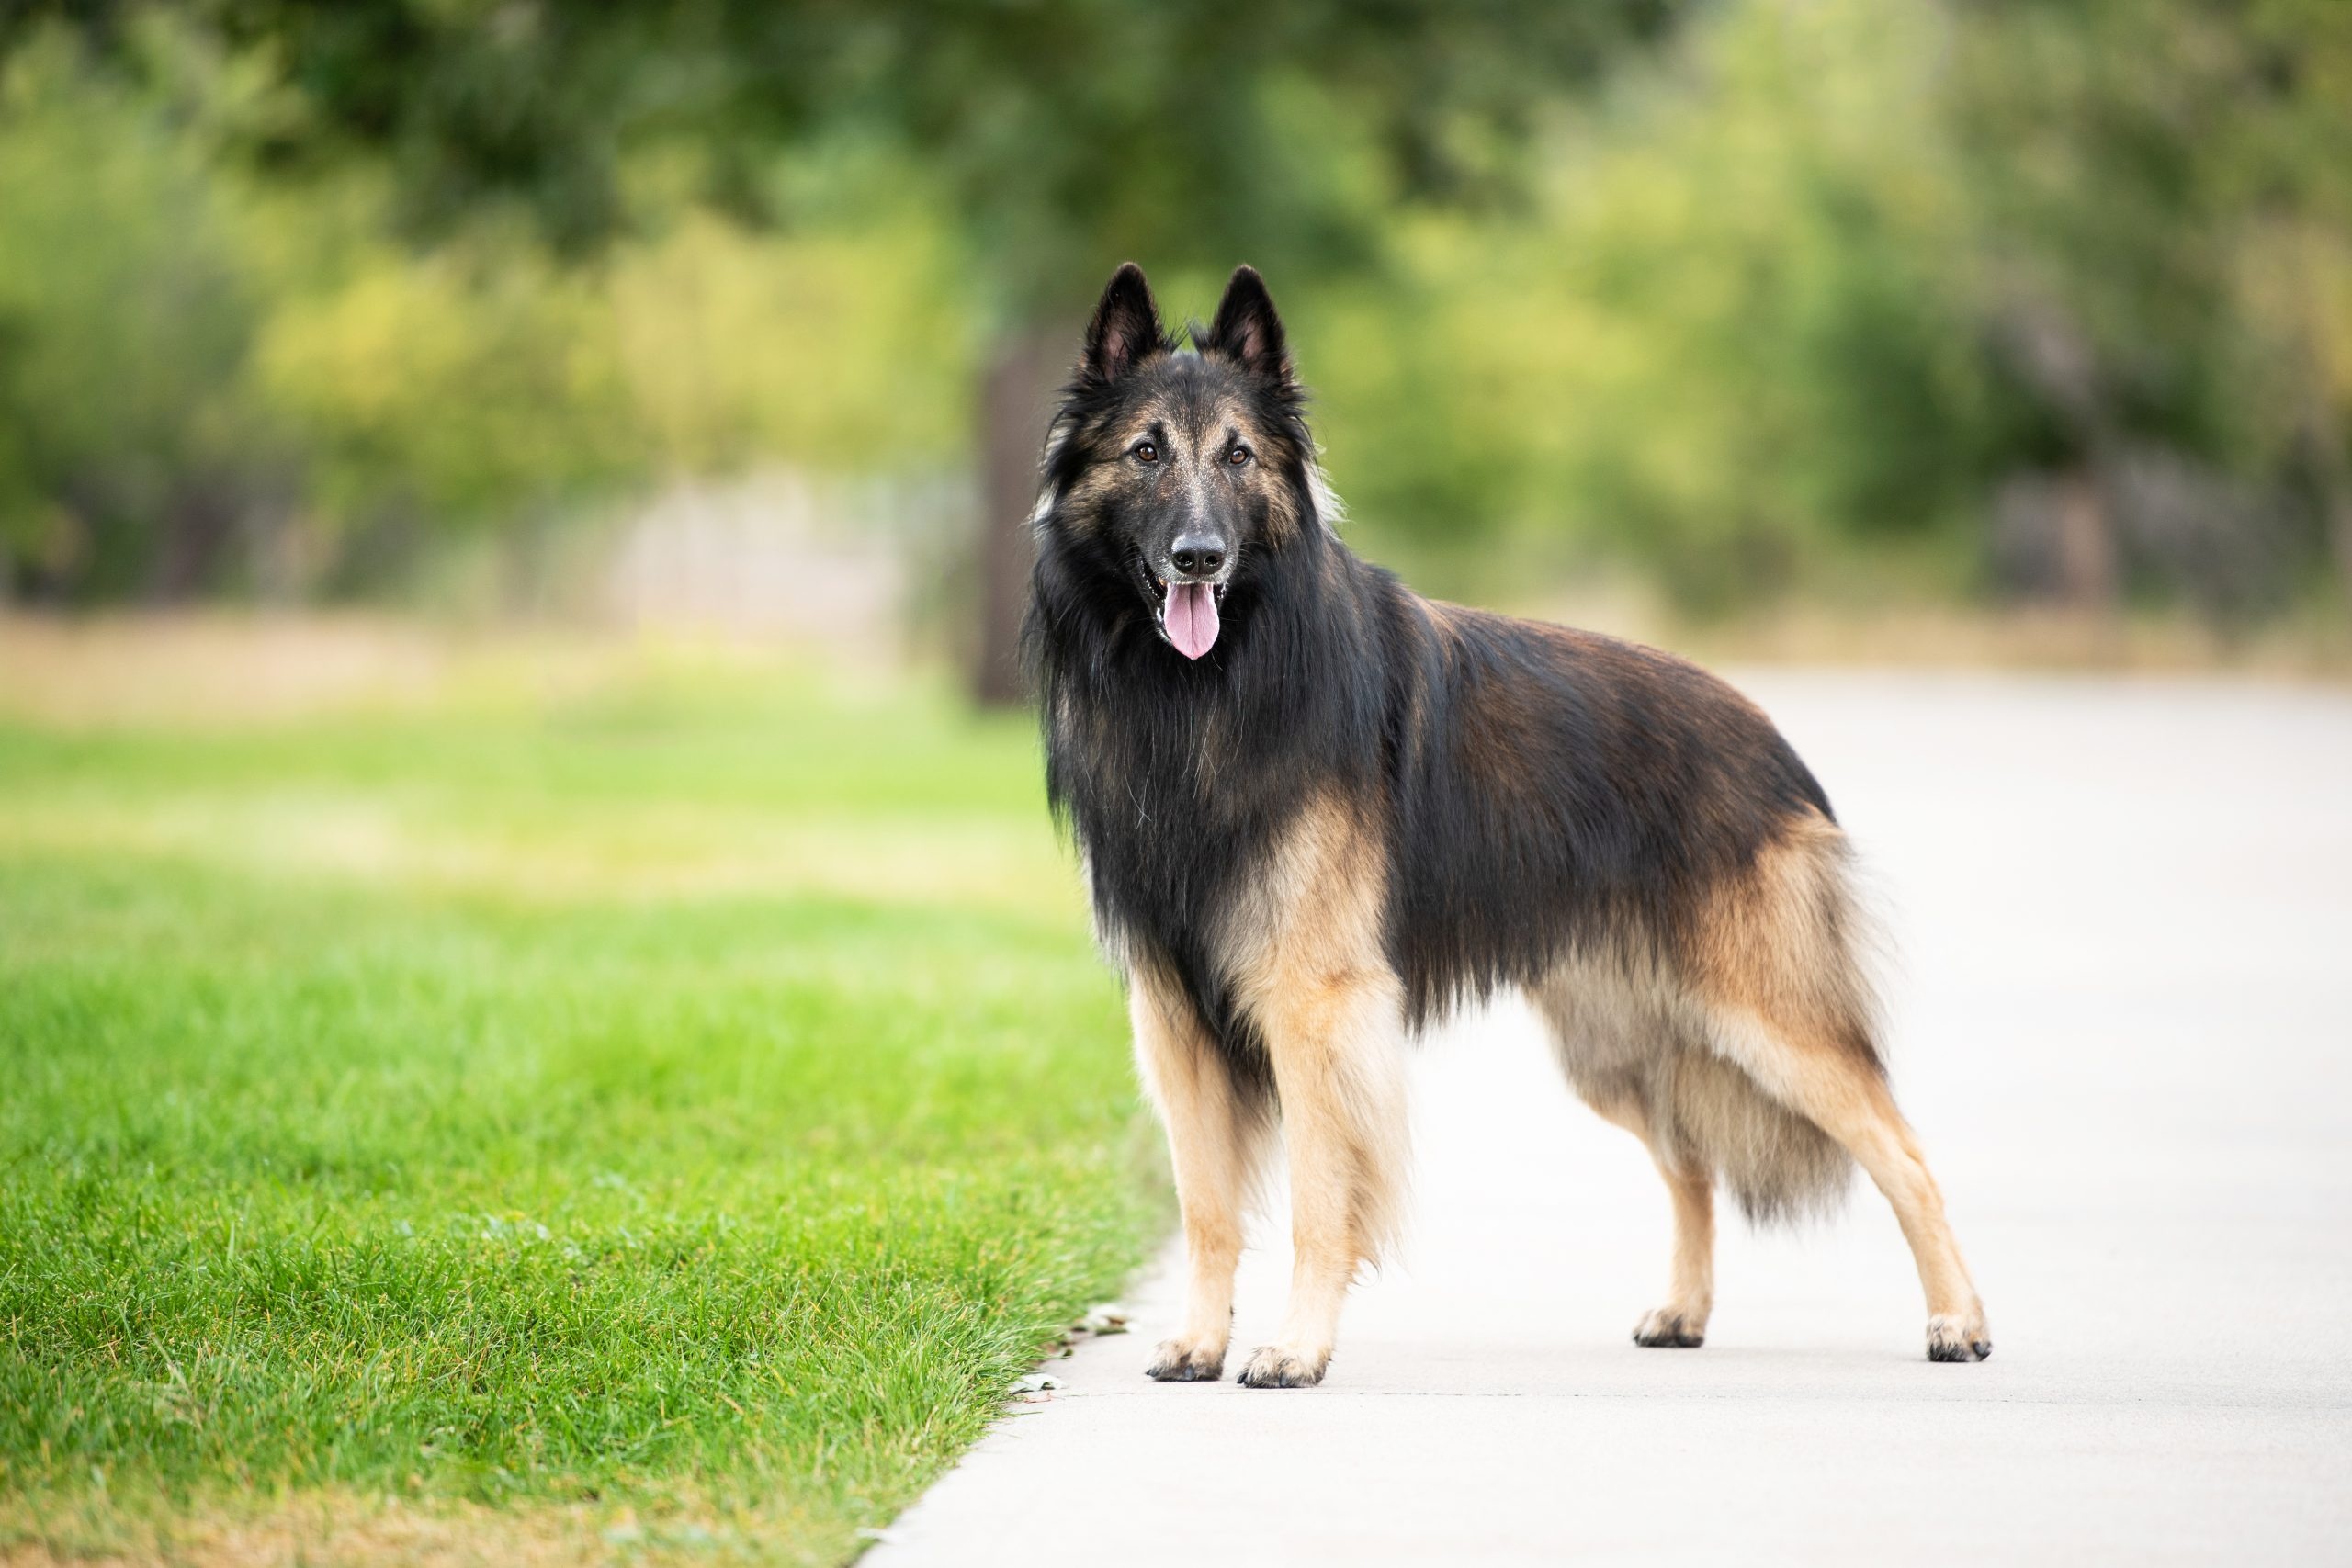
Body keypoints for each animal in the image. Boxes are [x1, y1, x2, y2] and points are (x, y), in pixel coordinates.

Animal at [1021, 263, 1994, 1392]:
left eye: (1238, 456)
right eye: (1145, 452)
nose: (1198, 557)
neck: (1207, 692)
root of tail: (1772, 742)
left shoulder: (1313, 1007)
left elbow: (1317, 1200)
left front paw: (1296, 1349)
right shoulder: (1173, 1012)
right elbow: (1207, 1207)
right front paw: (1199, 1341)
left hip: (1769, 1025)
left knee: (1903, 1153)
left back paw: (1958, 1322)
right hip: (1619, 1045)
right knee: (1691, 1160)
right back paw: (1684, 1310)